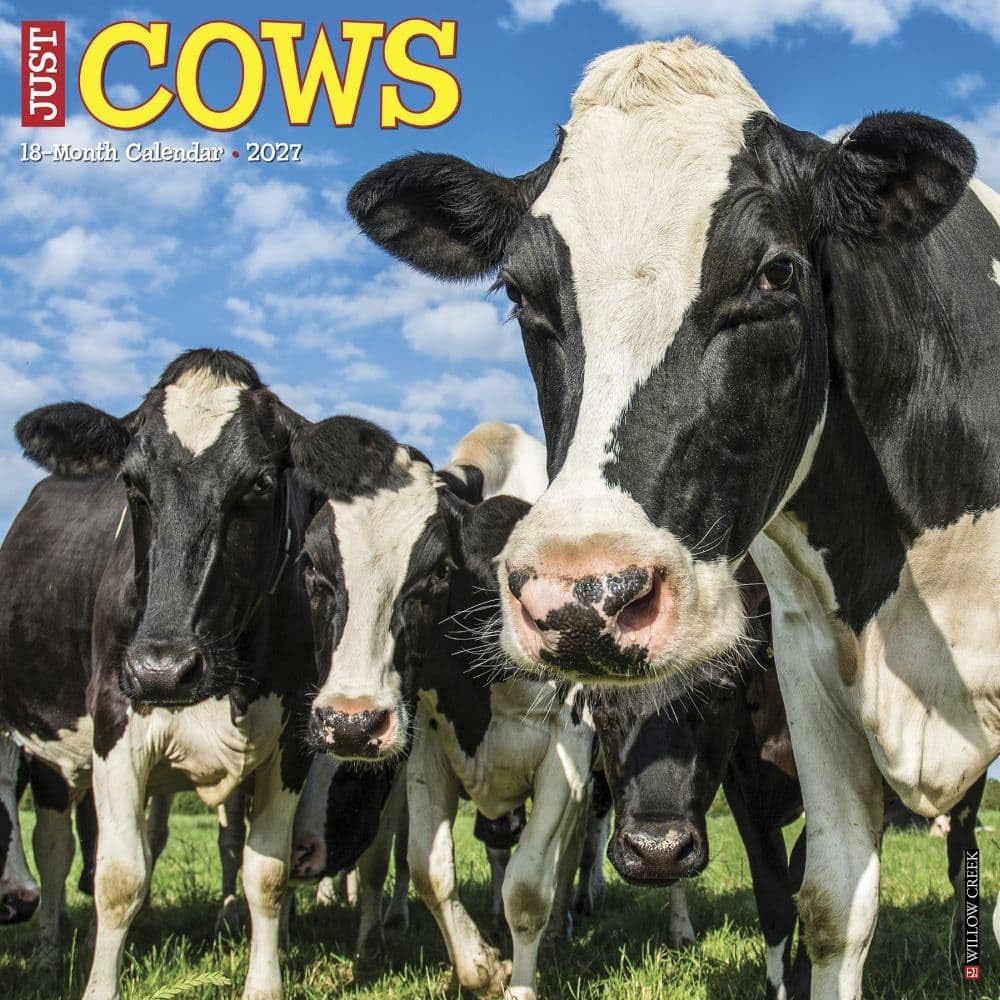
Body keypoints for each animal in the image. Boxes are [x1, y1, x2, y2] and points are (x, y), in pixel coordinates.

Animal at [0, 348, 391, 999]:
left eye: (259, 483)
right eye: (132, 484)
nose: (163, 668)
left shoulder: (292, 739)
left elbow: (266, 874)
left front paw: (264, 983)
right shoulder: (114, 724)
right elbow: (118, 879)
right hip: (51, 750)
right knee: (55, 847)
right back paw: (49, 950)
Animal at [300, 420, 596, 1000]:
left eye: (438, 571)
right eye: (312, 569)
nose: (351, 723)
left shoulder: (568, 752)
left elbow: (530, 887)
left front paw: (521, 982)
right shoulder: (427, 748)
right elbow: (427, 869)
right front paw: (483, 967)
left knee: (566, 858)